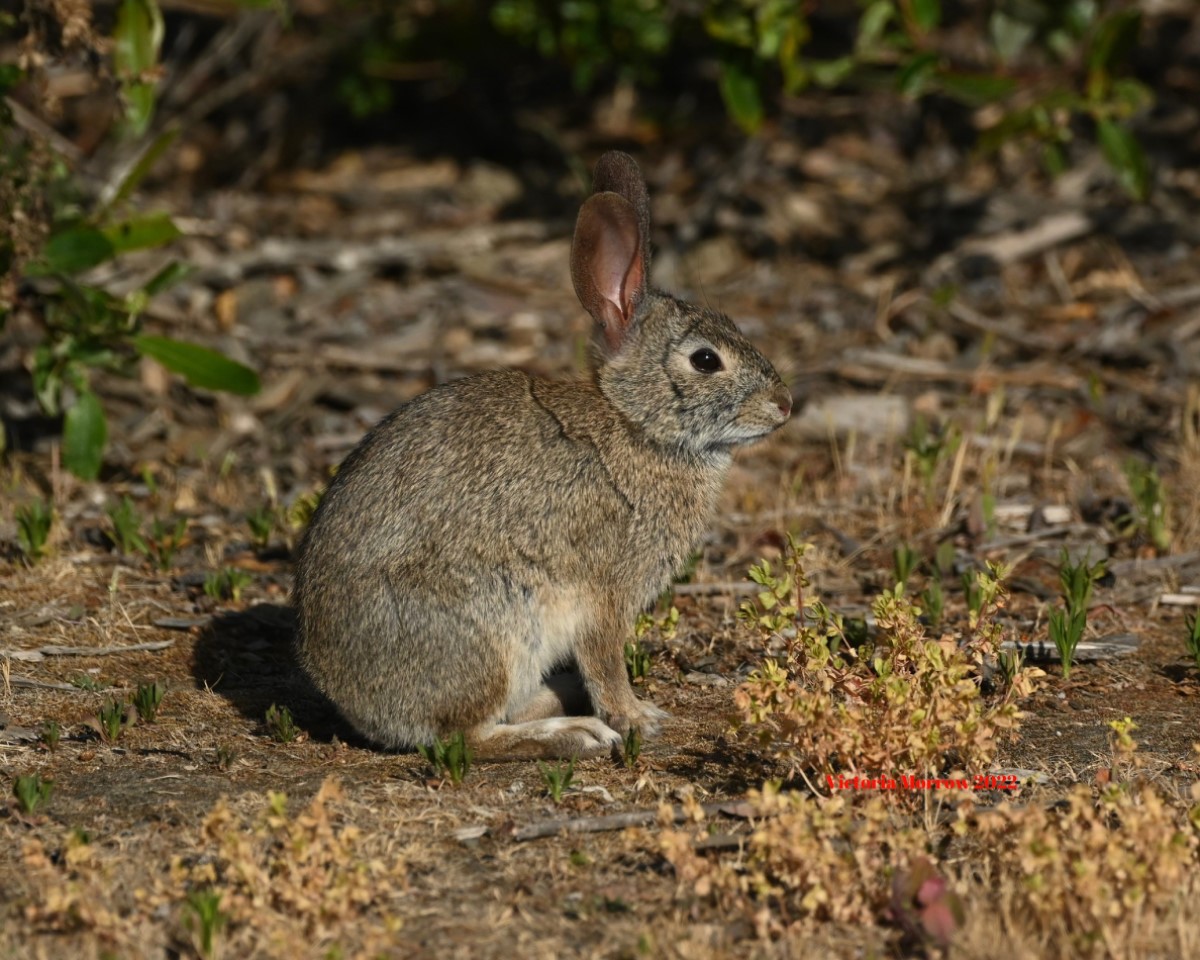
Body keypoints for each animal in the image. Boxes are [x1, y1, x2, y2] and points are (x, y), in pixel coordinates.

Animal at [294, 151, 792, 758]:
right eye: (705, 360)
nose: (785, 404)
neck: (634, 423)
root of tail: (349, 700)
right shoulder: (606, 593)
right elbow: (605, 661)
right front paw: (638, 718)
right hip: (495, 628)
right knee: (466, 738)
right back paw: (574, 733)